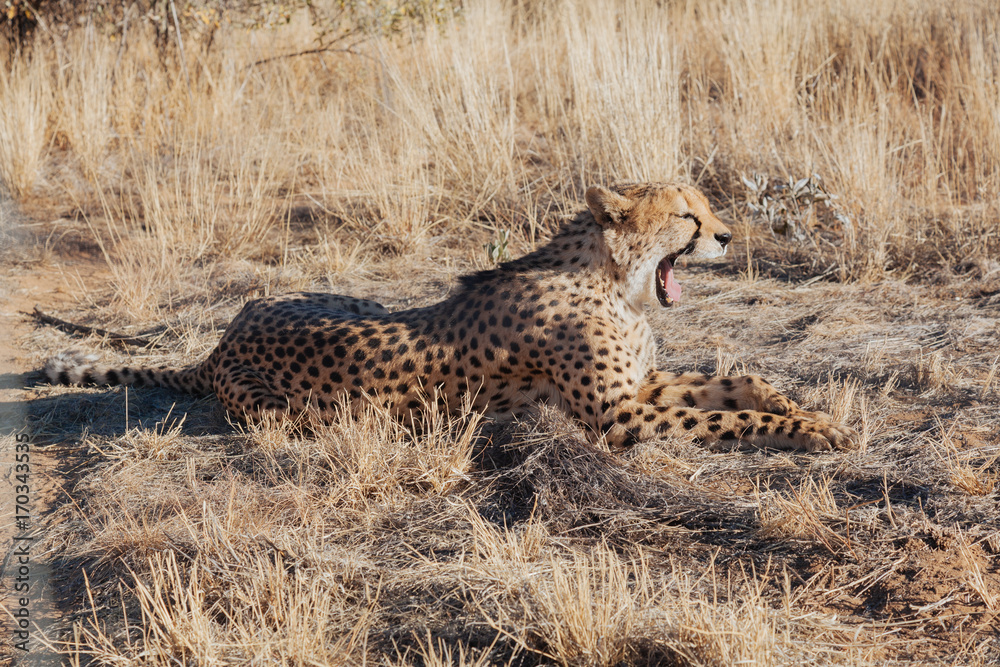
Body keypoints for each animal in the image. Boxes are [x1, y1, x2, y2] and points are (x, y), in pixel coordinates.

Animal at [44, 182, 854, 452]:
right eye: (688, 214)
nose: (727, 235)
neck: (609, 279)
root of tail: (221, 342)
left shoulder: (640, 387)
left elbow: (738, 384)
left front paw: (810, 412)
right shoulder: (618, 415)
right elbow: (722, 416)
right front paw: (807, 432)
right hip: (290, 412)